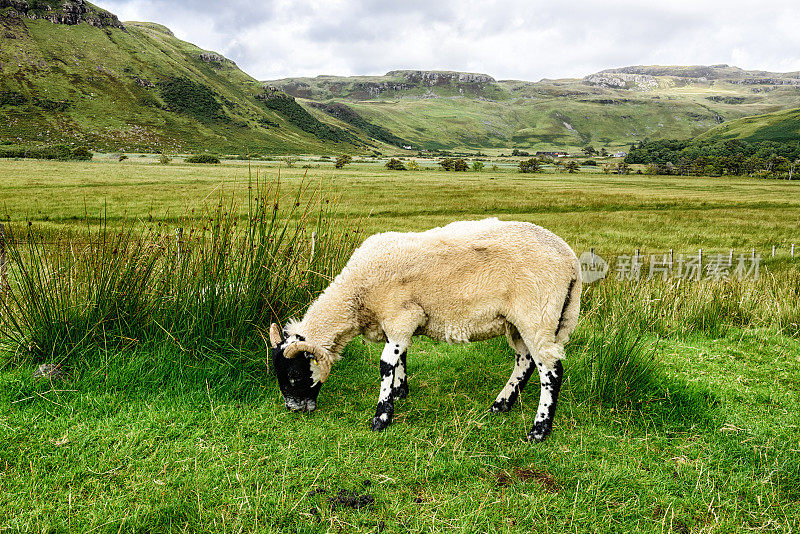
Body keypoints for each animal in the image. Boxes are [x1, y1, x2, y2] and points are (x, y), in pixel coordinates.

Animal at [270, 219, 580, 444]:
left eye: (295, 374)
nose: (292, 409)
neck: (355, 296)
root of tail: (571, 260)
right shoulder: (398, 323)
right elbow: (401, 357)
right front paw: (399, 391)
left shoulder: (401, 315)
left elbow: (386, 364)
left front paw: (381, 417)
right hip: (517, 321)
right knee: (525, 361)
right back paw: (501, 404)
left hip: (537, 314)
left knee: (551, 371)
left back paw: (539, 430)